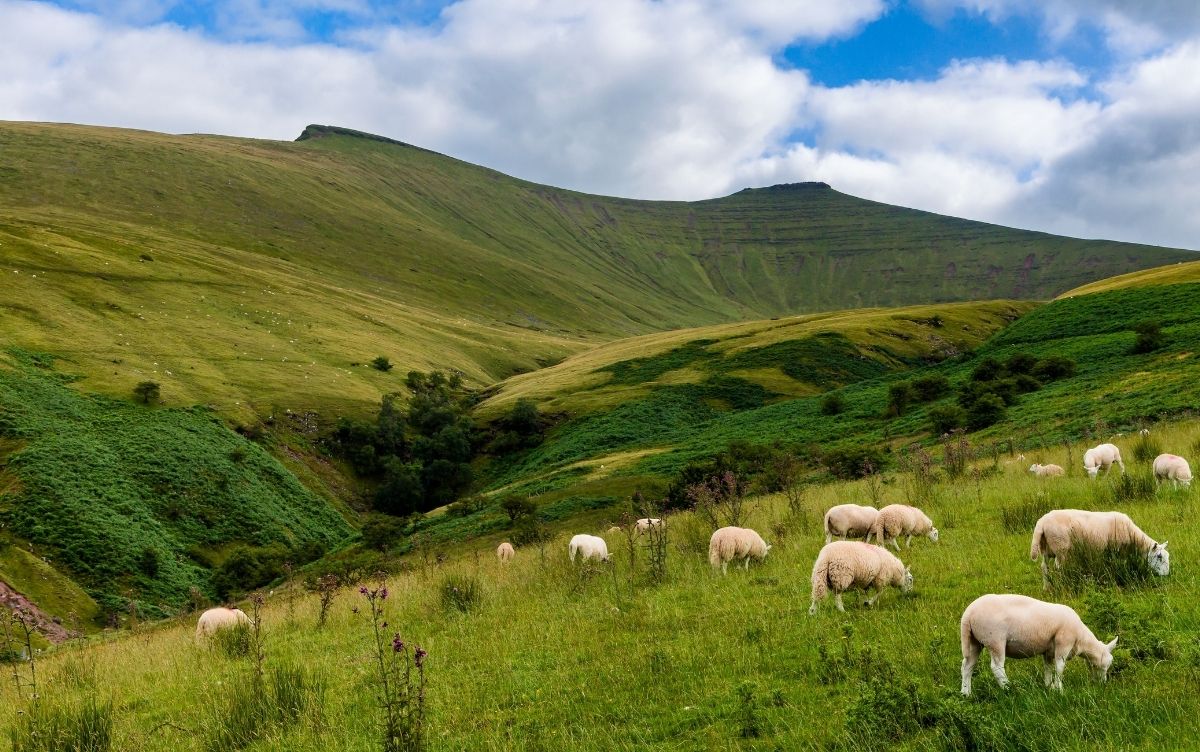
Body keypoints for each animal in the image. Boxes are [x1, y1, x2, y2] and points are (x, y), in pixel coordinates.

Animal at [960, 593, 1117, 695]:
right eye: (1108, 664)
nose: (1103, 684)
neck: (1082, 639)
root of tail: (968, 614)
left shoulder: (1049, 651)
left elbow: (1048, 667)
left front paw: (1048, 686)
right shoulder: (1063, 643)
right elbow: (1060, 667)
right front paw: (1059, 689)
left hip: (974, 641)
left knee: (967, 666)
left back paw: (966, 693)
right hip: (995, 640)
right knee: (997, 667)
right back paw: (1008, 689)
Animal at [1030, 509, 1168, 589]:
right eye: (1159, 557)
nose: (1166, 575)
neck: (1132, 535)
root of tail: (1042, 522)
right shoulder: (1116, 550)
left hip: (1046, 549)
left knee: (1044, 568)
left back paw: (1047, 588)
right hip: (1060, 547)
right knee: (1058, 568)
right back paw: (1062, 585)